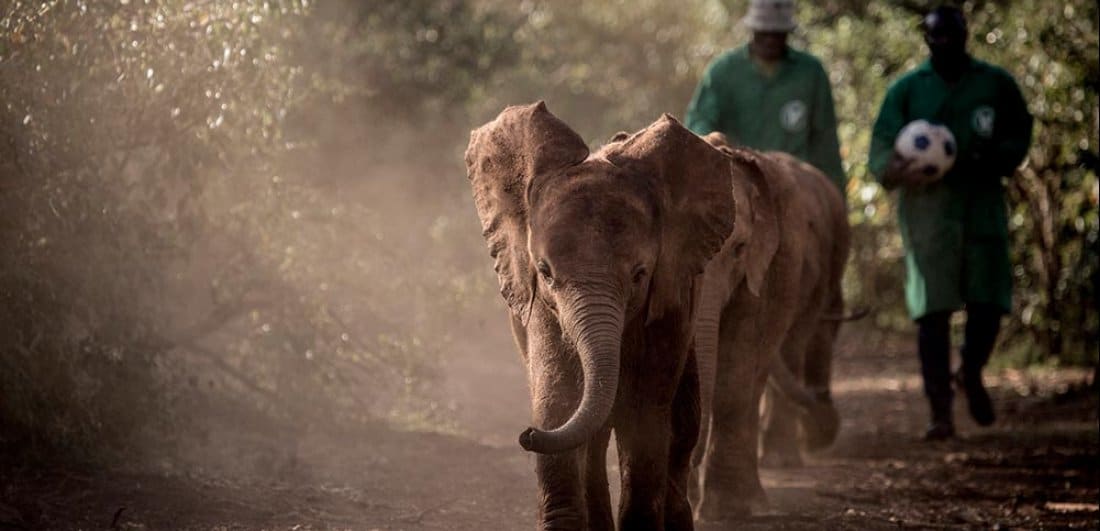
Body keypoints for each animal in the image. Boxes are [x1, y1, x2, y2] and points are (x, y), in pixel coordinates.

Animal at [464, 101, 739, 529]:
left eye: (640, 275)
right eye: (545, 272)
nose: (526, 435)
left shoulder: (671, 300)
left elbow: (645, 417)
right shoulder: (542, 305)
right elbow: (558, 398)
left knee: (683, 423)